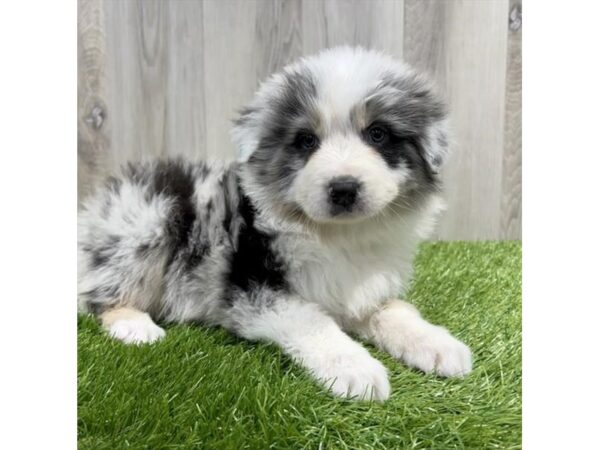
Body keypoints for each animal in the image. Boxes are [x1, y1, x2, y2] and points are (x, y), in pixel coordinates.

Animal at [77, 46, 474, 400]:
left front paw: (437, 344)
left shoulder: (358, 288)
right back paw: (135, 325)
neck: (338, 235)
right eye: (306, 141)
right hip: (144, 222)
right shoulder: (251, 287)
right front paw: (355, 368)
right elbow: (312, 320)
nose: (343, 188)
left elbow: (394, 310)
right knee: (97, 295)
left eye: (378, 134)